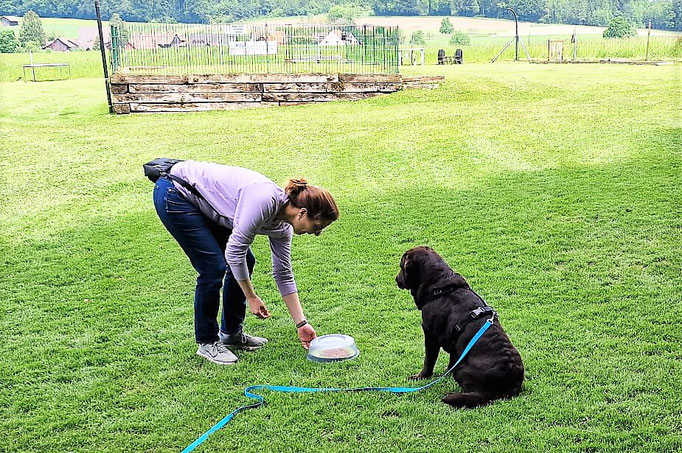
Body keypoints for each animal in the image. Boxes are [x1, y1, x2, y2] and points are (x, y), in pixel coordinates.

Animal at [394, 245, 520, 408]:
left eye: (401, 266)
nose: (396, 279)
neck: (440, 287)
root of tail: (511, 382)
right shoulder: (455, 345)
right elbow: (452, 360)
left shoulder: (430, 335)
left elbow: (429, 361)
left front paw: (421, 376)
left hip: (462, 370)